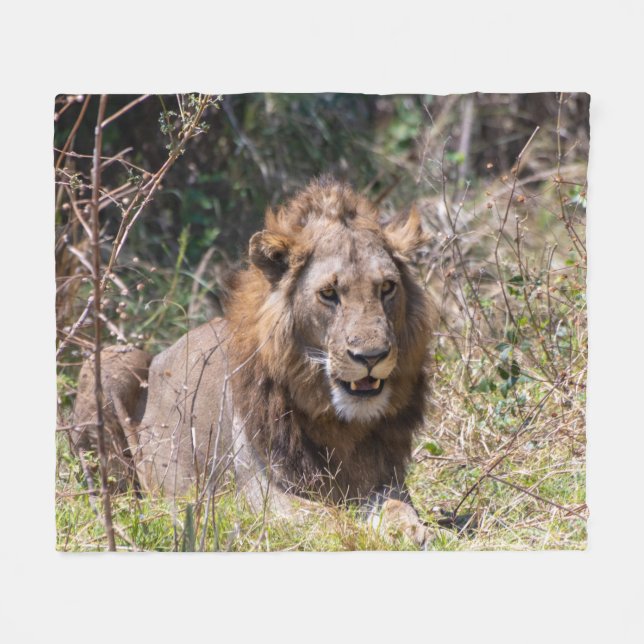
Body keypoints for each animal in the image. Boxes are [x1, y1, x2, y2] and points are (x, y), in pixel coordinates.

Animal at [71, 178, 435, 547]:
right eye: (329, 294)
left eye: (387, 287)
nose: (371, 357)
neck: (338, 421)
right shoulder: (258, 494)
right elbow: (328, 517)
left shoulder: (384, 478)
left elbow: (397, 505)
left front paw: (411, 529)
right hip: (111, 362)